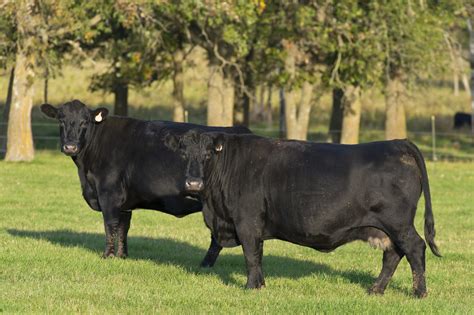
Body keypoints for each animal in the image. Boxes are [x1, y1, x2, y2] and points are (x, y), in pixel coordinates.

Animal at [39, 99, 252, 266]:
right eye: (61, 120)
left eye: (85, 121)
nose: (70, 146)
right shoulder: (124, 202)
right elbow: (123, 227)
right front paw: (122, 256)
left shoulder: (108, 194)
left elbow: (110, 225)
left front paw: (107, 256)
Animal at [166, 131, 440, 298]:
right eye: (183, 154)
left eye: (208, 154)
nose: (193, 183)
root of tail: (397, 142)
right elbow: (256, 255)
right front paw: (261, 284)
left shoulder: (247, 222)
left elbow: (251, 255)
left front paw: (252, 286)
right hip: (386, 228)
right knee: (393, 254)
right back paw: (376, 289)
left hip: (398, 223)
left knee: (414, 248)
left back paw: (419, 292)